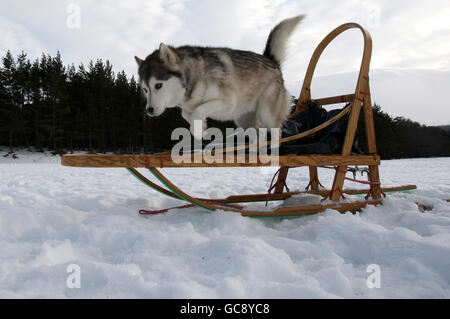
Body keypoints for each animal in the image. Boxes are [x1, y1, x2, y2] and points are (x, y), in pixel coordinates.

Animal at [134, 15, 302, 139]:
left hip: (267, 114)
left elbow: (198, 111)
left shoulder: (228, 101)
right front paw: (201, 129)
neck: (192, 78)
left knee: (275, 131)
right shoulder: (188, 107)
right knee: (258, 132)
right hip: (243, 119)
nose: (149, 110)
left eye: (158, 85)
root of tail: (271, 60)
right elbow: (186, 113)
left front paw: (198, 128)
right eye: (145, 89)